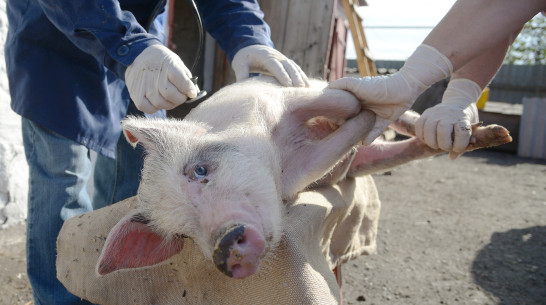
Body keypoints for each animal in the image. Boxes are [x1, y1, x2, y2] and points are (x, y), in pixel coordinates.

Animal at [95, 75, 508, 278]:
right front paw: (361, 126)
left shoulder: (276, 100)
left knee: (396, 112)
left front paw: (365, 112)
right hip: (368, 164)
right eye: (182, 234)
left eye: (199, 169)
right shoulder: (299, 173)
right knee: (404, 148)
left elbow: (344, 102)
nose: (224, 249)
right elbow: (343, 138)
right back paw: (487, 136)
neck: (280, 151)